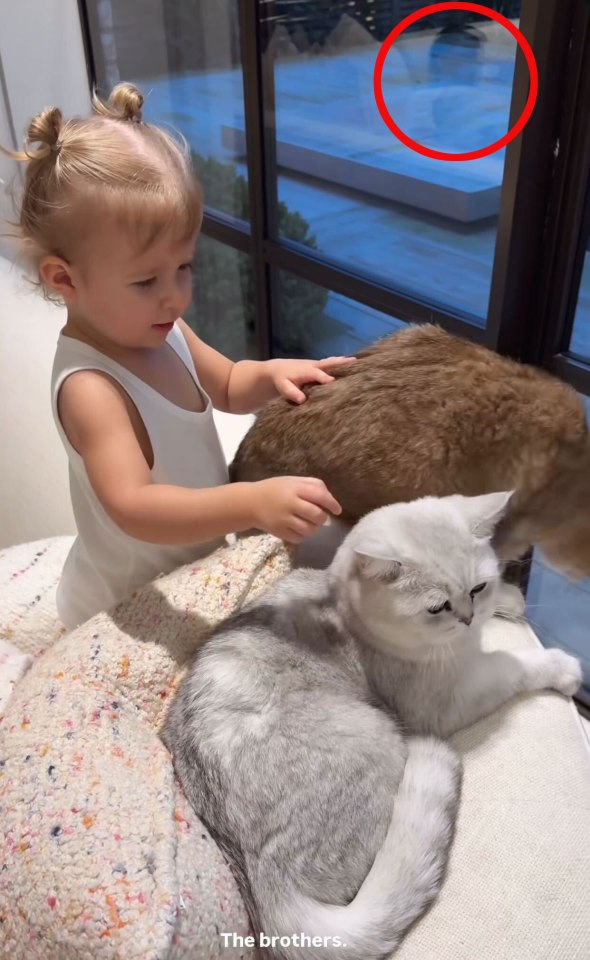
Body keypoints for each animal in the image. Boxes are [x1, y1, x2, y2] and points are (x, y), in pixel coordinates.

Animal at [163, 496, 584, 960]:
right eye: (437, 608)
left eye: (477, 588)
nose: (469, 619)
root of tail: (266, 887)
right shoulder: (449, 698)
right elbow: (513, 665)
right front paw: (561, 666)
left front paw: (509, 600)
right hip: (380, 737)